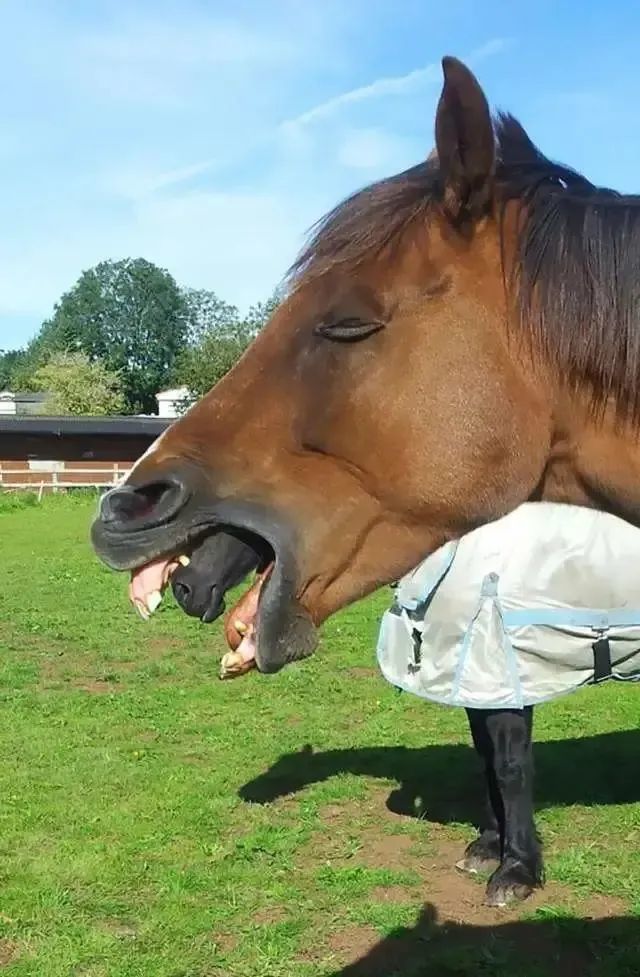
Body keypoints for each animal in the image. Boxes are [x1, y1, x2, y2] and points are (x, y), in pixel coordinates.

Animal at [91, 55, 640, 906]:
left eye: (348, 322)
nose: (126, 508)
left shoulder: (498, 669)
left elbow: (508, 758)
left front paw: (515, 867)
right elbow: (485, 754)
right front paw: (490, 846)